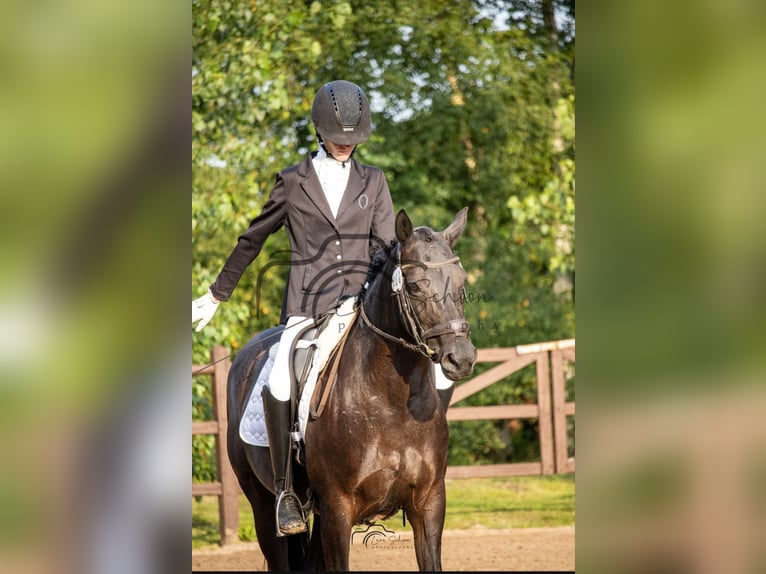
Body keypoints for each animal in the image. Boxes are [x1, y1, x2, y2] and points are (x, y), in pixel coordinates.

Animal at [226, 208, 477, 571]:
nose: (461, 358)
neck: (392, 403)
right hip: (262, 504)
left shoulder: (429, 504)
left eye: (461, 282)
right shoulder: (338, 508)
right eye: (416, 286)